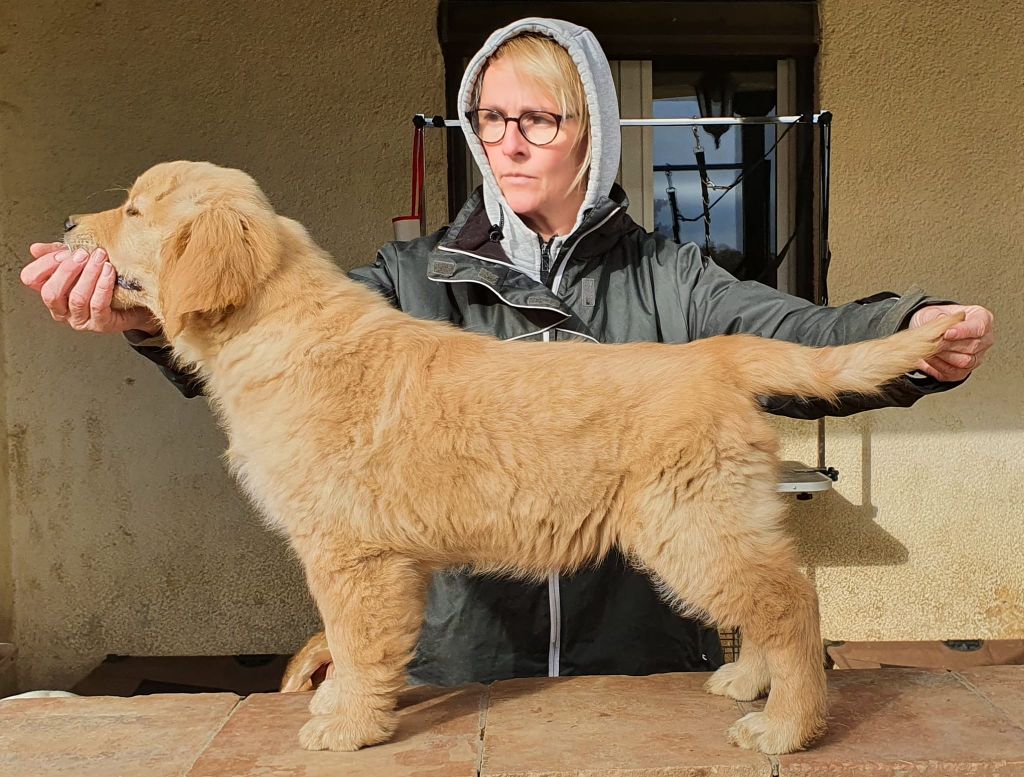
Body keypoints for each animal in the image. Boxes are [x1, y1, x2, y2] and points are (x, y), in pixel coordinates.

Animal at [66, 159, 958, 753]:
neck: (275, 327)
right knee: (772, 598)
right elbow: (351, 646)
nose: (71, 226)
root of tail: (717, 354)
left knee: (792, 601)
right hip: (710, 523)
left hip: (692, 523)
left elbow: (354, 641)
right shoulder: (362, 553)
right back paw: (749, 682)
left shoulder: (351, 552)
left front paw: (347, 725)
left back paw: (785, 725)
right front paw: (339, 708)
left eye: (134, 209)